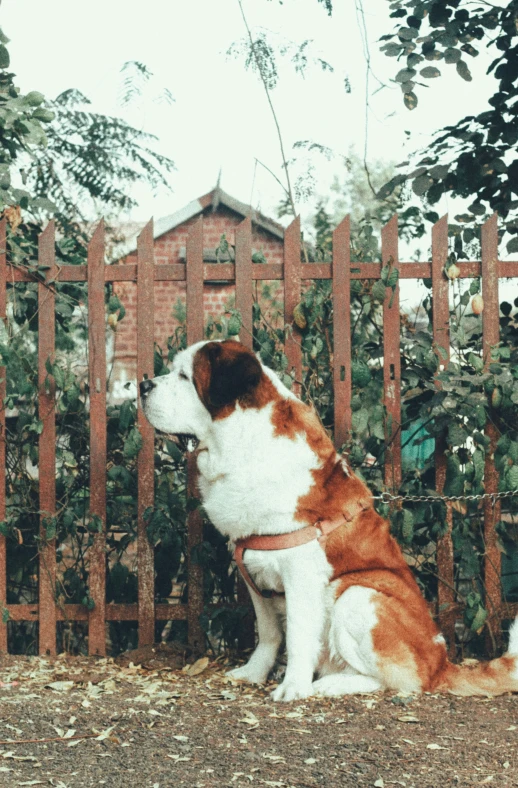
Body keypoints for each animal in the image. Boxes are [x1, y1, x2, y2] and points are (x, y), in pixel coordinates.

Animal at [140, 338, 518, 700]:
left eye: (185, 377)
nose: (143, 385)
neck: (244, 445)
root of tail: (442, 664)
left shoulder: (301, 571)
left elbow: (297, 636)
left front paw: (293, 687)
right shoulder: (253, 570)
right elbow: (268, 633)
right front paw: (253, 673)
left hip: (359, 593)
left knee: (399, 681)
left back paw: (329, 685)